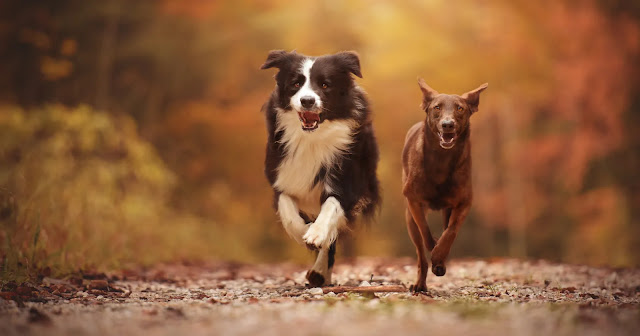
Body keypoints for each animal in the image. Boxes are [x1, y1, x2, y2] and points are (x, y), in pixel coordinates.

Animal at [260, 50, 380, 286]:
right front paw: (304, 232)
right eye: (295, 83)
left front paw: (315, 234)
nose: (307, 100)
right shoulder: (281, 176)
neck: (312, 138)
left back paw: (319, 272)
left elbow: (331, 207)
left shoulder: (347, 183)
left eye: (325, 85)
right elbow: (287, 209)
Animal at [402, 79, 488, 292]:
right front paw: (433, 248)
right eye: (437, 107)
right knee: (420, 255)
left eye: (460, 108)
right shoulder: (413, 200)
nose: (447, 124)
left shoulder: (464, 202)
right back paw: (420, 283)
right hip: (409, 218)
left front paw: (439, 257)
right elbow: (425, 230)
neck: (442, 158)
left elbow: (451, 231)